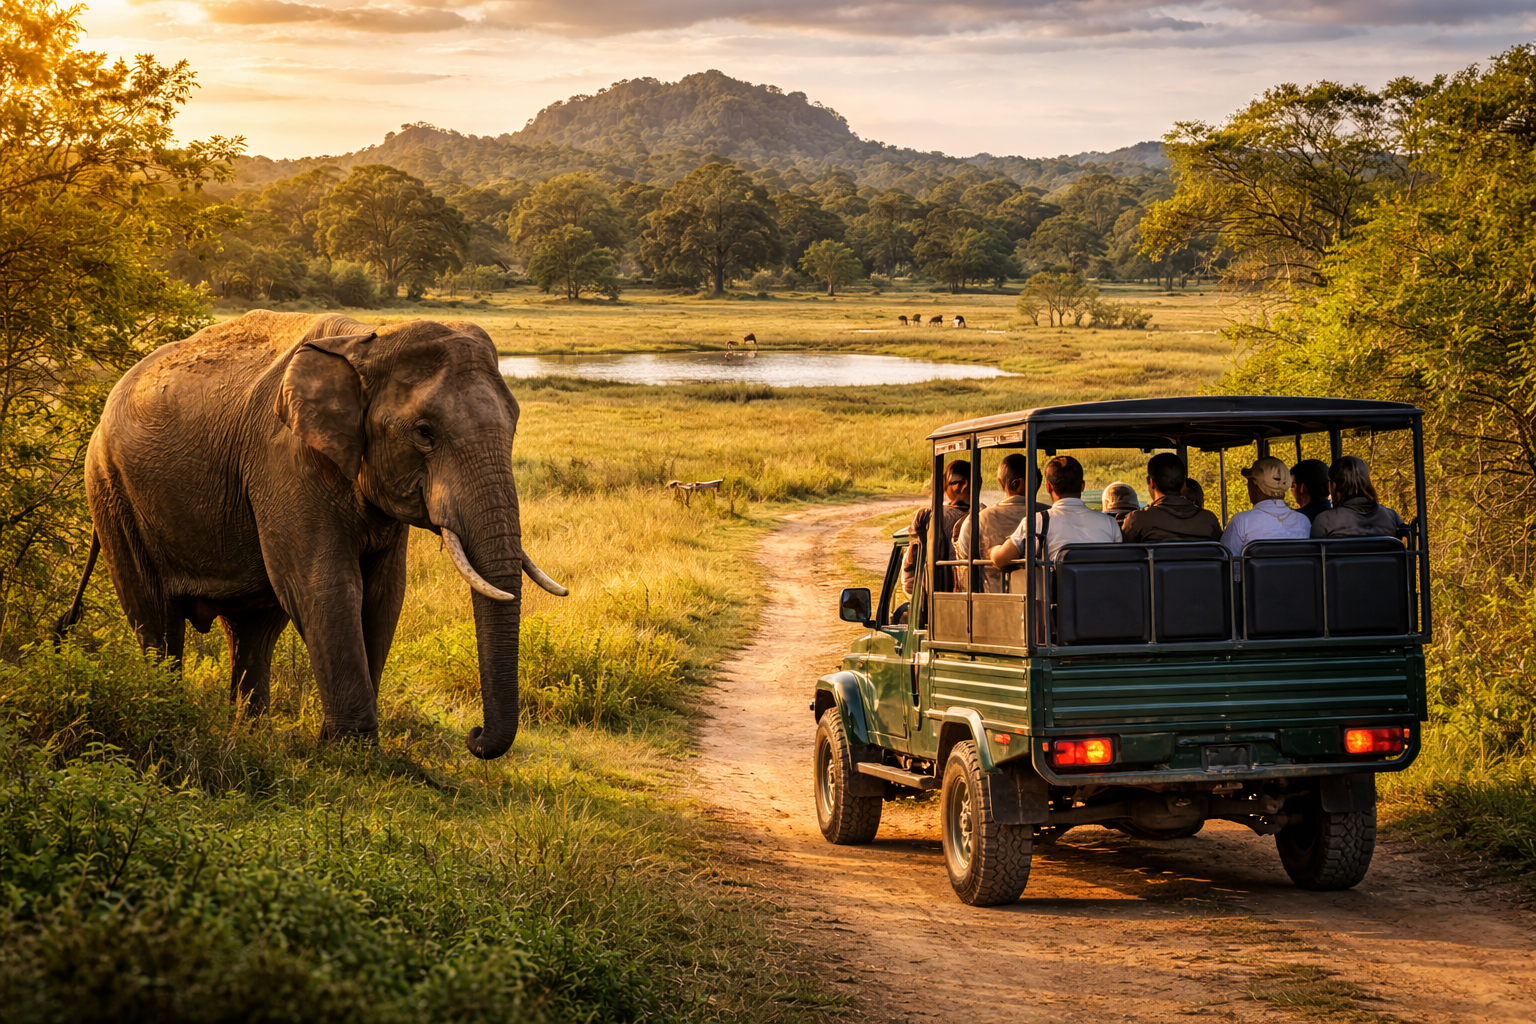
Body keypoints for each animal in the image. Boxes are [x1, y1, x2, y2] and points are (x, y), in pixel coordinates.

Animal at [58, 311, 565, 758]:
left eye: (514, 424)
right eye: (425, 433)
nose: (473, 736)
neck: (370, 340)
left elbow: (383, 595)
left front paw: (345, 749)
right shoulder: (285, 460)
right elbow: (325, 586)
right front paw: (354, 757)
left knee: (252, 629)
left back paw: (251, 737)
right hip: (110, 490)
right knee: (156, 618)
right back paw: (169, 716)